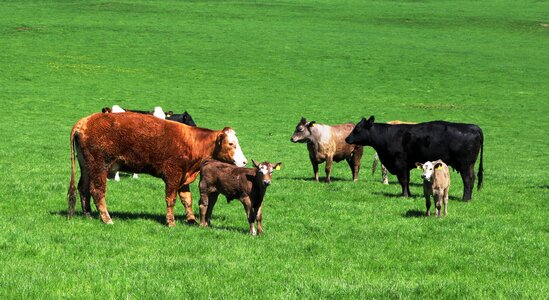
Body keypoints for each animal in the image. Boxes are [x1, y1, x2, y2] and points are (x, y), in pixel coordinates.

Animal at [66, 112, 246, 227]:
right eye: (231, 143)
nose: (244, 161)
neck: (192, 142)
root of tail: (84, 122)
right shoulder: (173, 174)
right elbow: (171, 199)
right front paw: (171, 222)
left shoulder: (184, 177)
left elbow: (187, 199)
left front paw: (192, 220)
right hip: (99, 167)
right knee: (97, 191)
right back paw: (107, 219)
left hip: (87, 167)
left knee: (83, 189)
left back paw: (88, 215)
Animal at [344, 116, 482, 200]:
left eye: (357, 129)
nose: (347, 139)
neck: (387, 135)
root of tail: (473, 127)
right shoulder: (406, 166)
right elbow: (407, 180)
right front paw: (408, 194)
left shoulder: (400, 163)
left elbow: (403, 180)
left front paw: (404, 195)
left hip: (465, 164)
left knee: (468, 179)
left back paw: (466, 199)